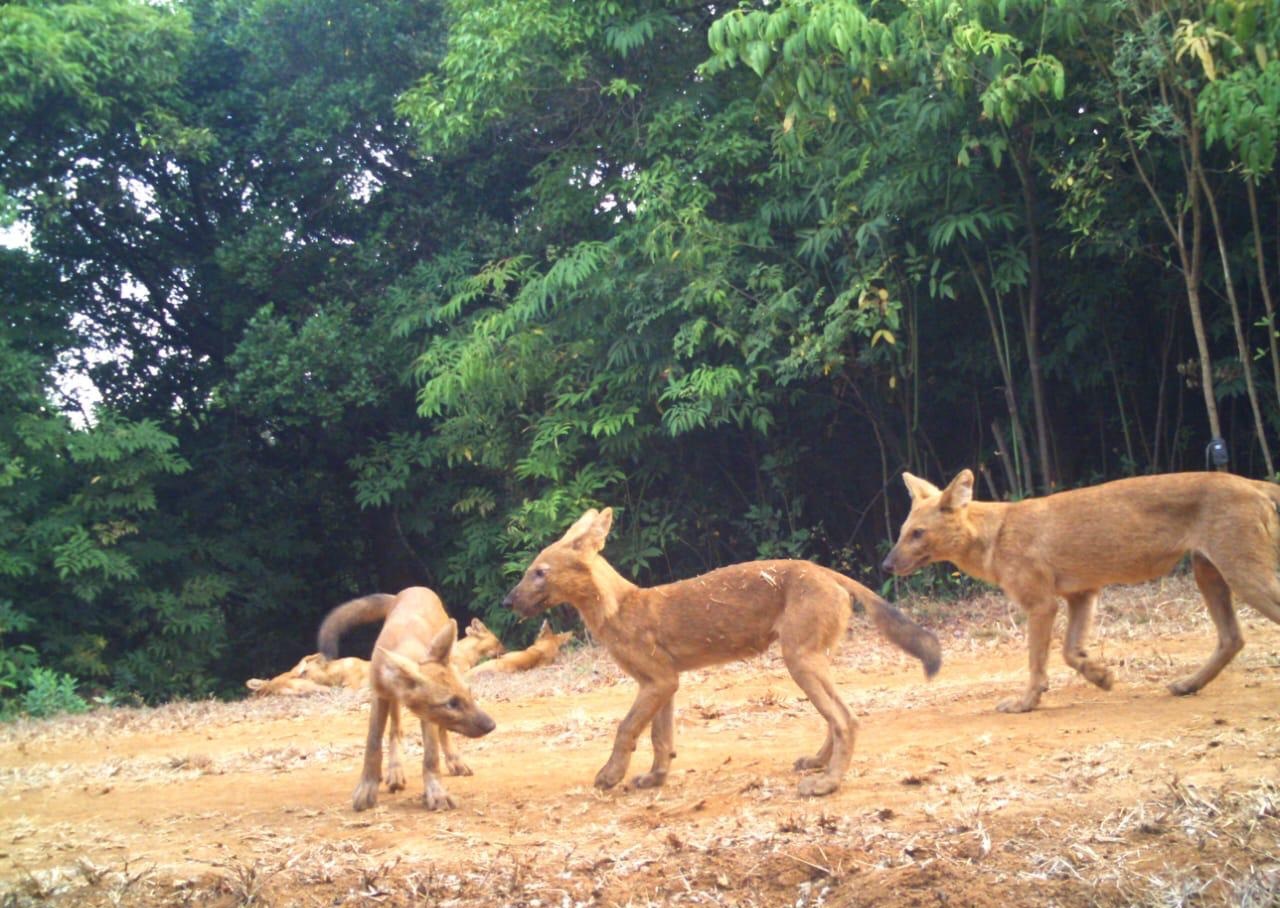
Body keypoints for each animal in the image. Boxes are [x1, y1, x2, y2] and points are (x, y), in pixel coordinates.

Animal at [317, 588, 496, 811]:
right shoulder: (380, 695)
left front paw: (436, 792)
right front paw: (366, 789)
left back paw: (455, 761)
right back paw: (395, 771)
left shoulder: (428, 715)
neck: (406, 640)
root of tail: (410, 590)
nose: (492, 725)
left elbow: (431, 757)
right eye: (452, 703)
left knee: (441, 733)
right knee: (396, 731)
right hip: (393, 702)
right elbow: (373, 745)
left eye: (469, 693)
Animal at [502, 508, 940, 797]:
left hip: (799, 660)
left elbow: (626, 729)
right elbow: (661, 739)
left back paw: (827, 783)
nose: (507, 601)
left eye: (539, 572)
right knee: (842, 717)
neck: (617, 609)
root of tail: (826, 571)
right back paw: (818, 764)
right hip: (813, 659)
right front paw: (654, 778)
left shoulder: (658, 680)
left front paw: (610, 776)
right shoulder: (662, 683)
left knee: (846, 720)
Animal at [882, 469, 1280, 713]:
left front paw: (1025, 703)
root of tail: (1253, 482)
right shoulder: (1082, 594)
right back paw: (1187, 685)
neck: (995, 534)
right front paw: (1101, 676)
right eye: (902, 532)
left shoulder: (1041, 604)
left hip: (1242, 574)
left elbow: (1037, 662)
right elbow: (1070, 653)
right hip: (1208, 573)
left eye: (917, 533)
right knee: (1232, 638)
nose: (885, 565)